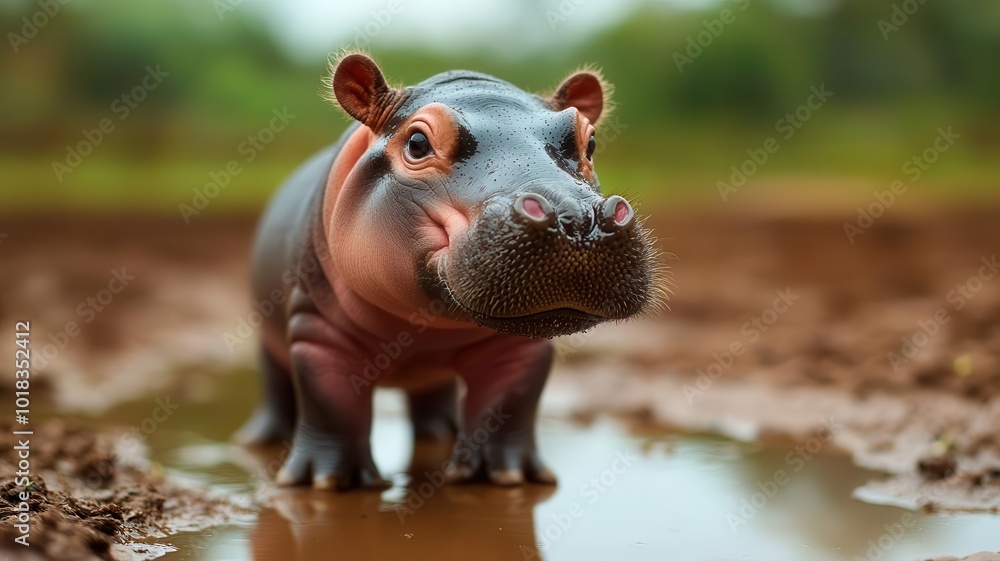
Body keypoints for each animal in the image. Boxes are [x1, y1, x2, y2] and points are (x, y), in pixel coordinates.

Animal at [236, 53, 662, 490]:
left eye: (589, 142)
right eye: (417, 143)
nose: (576, 218)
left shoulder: (520, 346)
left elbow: (510, 402)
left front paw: (506, 476)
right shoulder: (319, 332)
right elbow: (330, 402)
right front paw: (330, 483)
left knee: (431, 390)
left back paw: (442, 431)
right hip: (269, 335)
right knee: (275, 382)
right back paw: (260, 440)